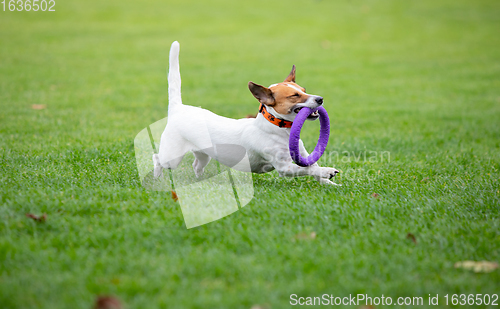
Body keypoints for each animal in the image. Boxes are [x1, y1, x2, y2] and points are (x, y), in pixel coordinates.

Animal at [152, 41, 340, 184]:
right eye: (294, 96)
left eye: (304, 90)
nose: (320, 99)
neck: (278, 129)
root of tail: (178, 108)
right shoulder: (284, 167)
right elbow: (307, 169)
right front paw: (327, 172)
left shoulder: (303, 155)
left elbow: (313, 167)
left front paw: (329, 183)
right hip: (172, 157)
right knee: (157, 158)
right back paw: (157, 177)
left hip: (203, 154)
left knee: (197, 165)